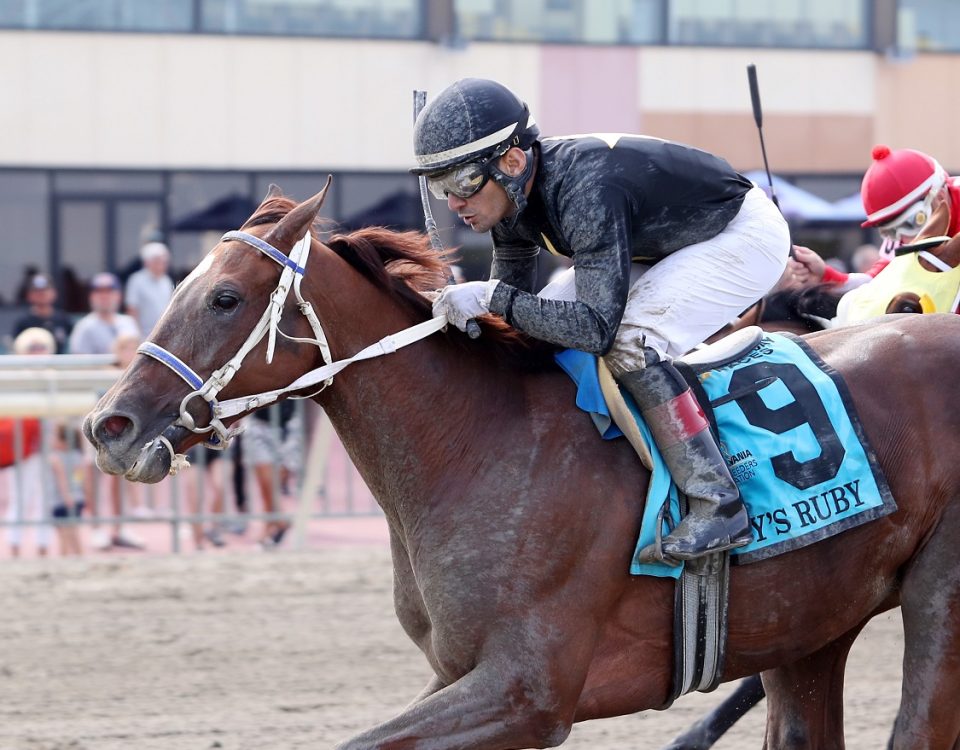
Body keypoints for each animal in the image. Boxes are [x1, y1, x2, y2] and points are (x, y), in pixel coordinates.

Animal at [80, 184, 960, 750]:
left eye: (225, 297)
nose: (108, 425)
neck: (477, 444)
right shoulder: (459, 677)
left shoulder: (526, 692)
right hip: (810, 620)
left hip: (938, 602)